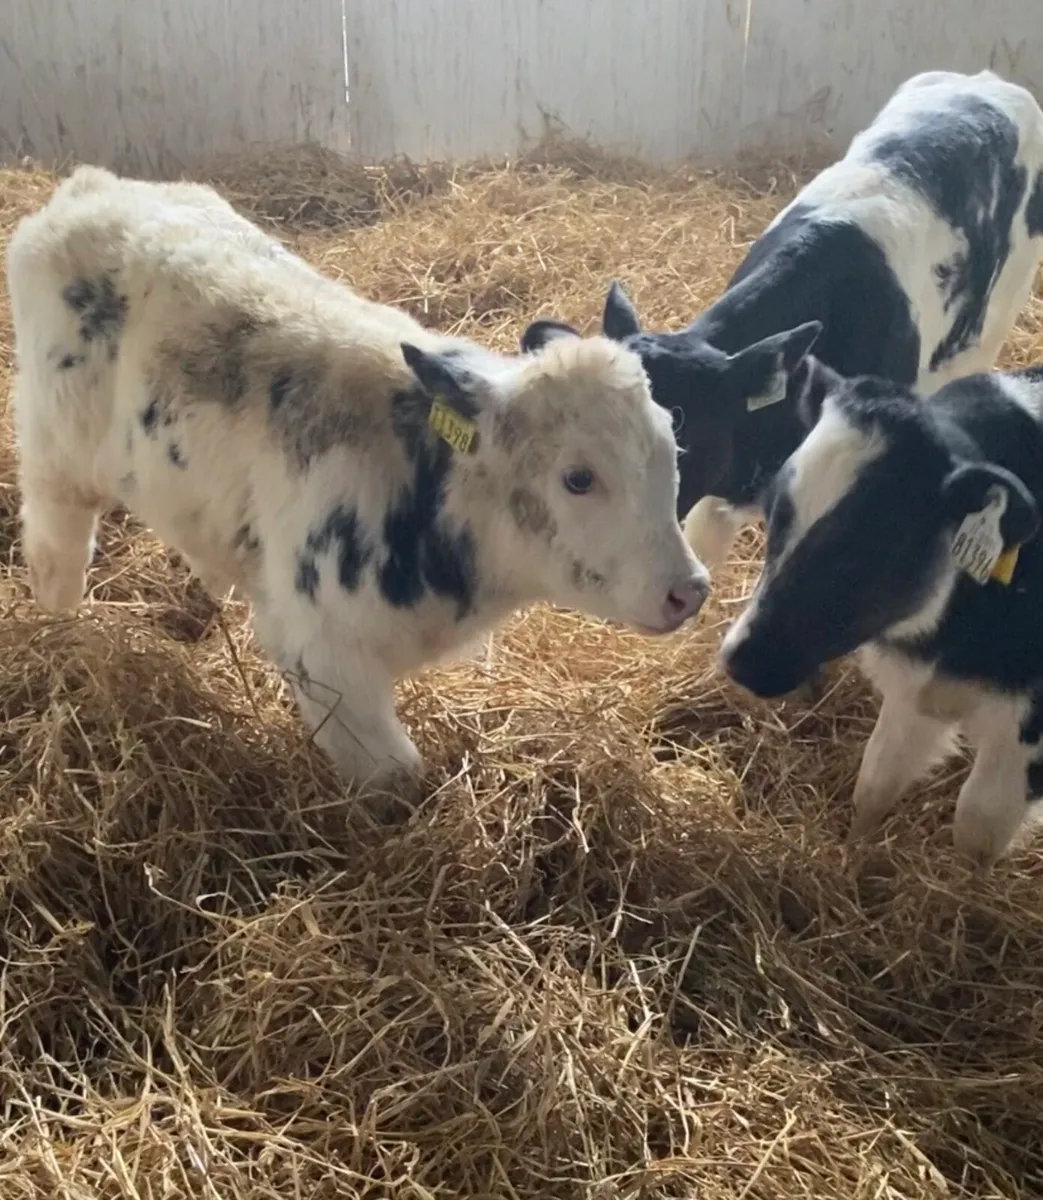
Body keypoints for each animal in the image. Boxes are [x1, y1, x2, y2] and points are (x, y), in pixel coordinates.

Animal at [6, 165, 710, 802]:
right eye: (578, 477)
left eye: (672, 449)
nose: (690, 590)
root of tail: (91, 187)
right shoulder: (325, 655)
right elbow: (396, 778)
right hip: (54, 451)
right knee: (55, 544)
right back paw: (60, 625)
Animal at [719, 357, 1043, 867]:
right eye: (773, 515)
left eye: (861, 551)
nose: (737, 660)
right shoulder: (916, 688)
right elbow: (875, 783)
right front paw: (851, 858)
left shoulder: (1026, 731)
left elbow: (977, 831)